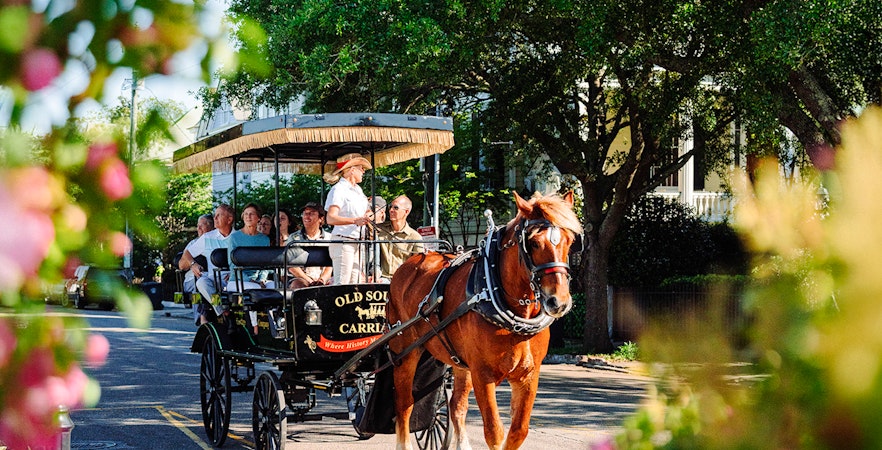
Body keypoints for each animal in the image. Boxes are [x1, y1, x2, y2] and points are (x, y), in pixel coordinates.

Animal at [387, 191, 583, 450]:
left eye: (570, 241)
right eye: (533, 243)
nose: (558, 302)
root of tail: (407, 266)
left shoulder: (528, 375)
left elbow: (518, 431)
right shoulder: (483, 374)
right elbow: (494, 431)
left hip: (459, 363)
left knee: (456, 406)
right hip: (405, 353)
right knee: (404, 404)